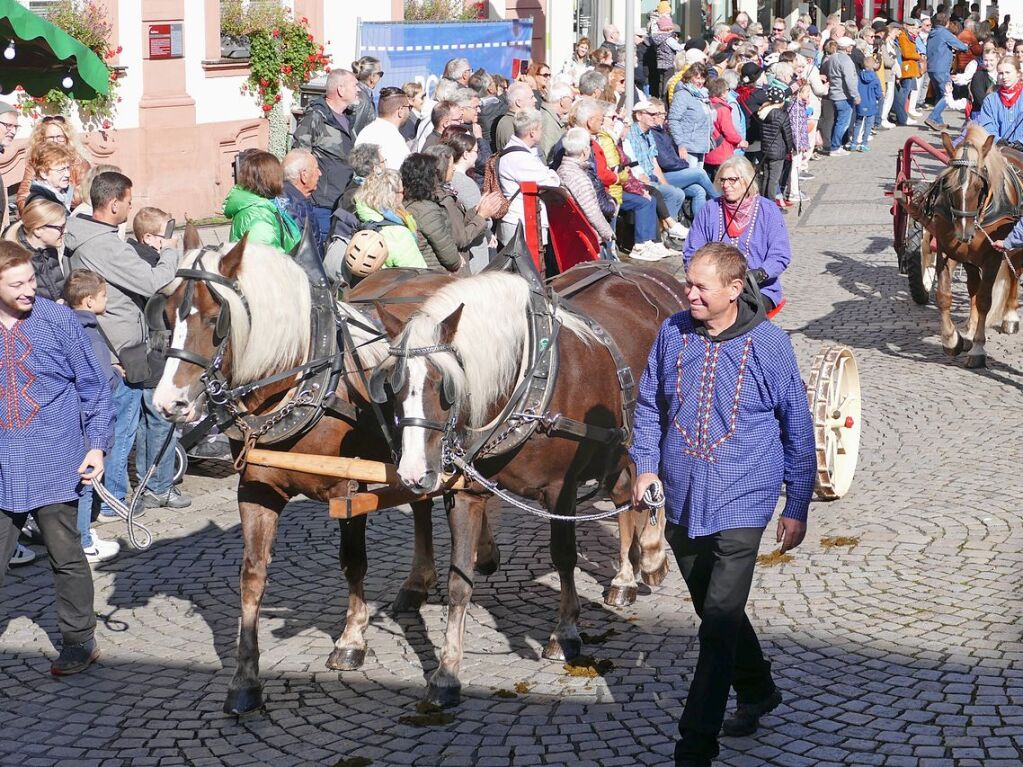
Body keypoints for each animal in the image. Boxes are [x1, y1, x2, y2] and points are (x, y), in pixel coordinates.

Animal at [149, 233, 497, 715]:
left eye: (218, 319)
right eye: (165, 314)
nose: (169, 404)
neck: (306, 378)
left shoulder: (346, 490)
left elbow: (353, 562)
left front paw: (351, 639)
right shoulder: (257, 487)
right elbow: (251, 575)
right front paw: (244, 679)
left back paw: (483, 551)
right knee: (422, 504)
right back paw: (417, 581)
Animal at [372, 263, 683, 707]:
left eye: (443, 386)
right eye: (391, 387)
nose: (414, 473)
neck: (525, 385)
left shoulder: (561, 489)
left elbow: (564, 556)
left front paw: (565, 633)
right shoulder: (466, 493)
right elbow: (458, 581)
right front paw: (446, 672)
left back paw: (652, 558)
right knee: (626, 492)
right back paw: (626, 577)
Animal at [908, 123, 1023, 370]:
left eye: (980, 185)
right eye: (948, 185)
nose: (963, 233)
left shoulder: (993, 256)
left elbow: (985, 300)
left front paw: (978, 348)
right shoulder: (947, 250)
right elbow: (944, 295)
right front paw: (953, 340)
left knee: (1013, 273)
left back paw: (1010, 315)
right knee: (973, 287)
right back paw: (970, 328)